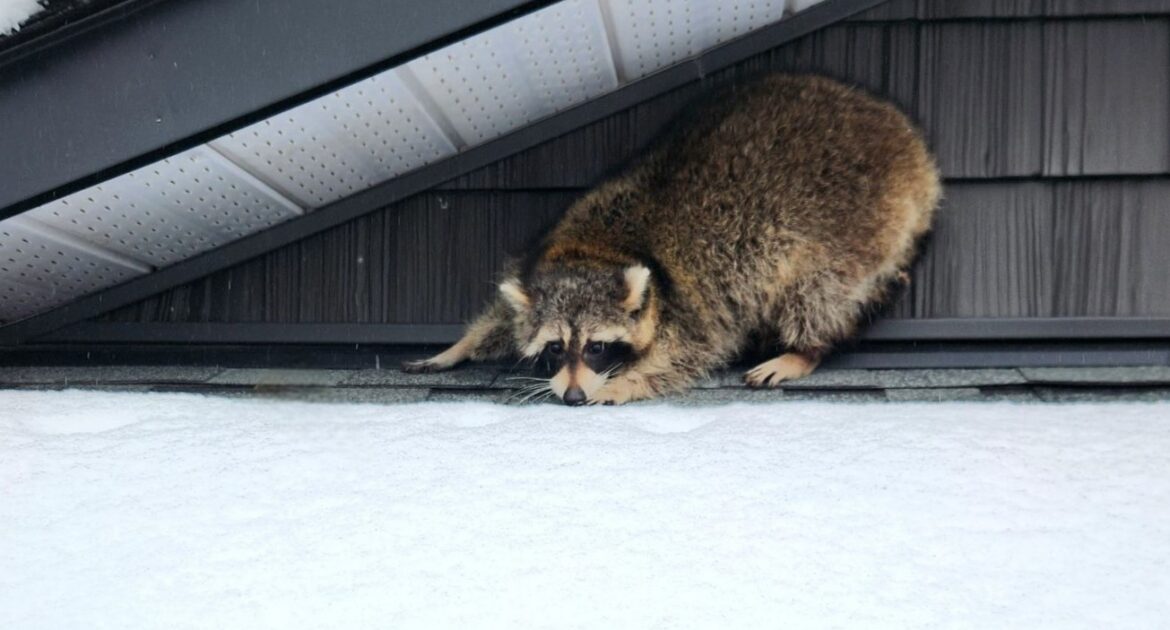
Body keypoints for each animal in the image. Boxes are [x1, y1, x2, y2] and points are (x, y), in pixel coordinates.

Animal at [403, 74, 941, 405]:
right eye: (555, 348)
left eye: (597, 347)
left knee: (816, 290)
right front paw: (458, 346)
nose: (574, 396)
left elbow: (688, 352)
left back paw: (805, 349)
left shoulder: (693, 301)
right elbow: (499, 319)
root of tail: (916, 155)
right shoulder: (539, 257)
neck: (592, 248)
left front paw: (623, 384)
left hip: (852, 220)